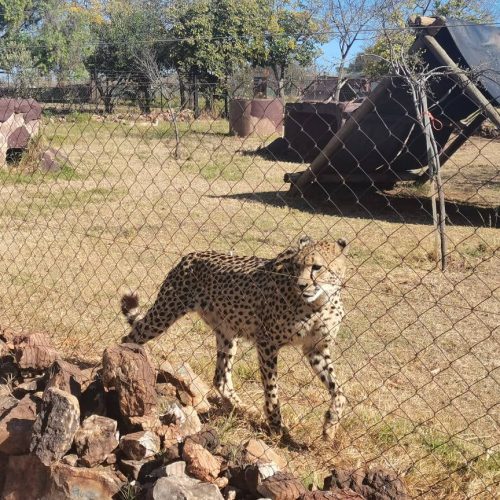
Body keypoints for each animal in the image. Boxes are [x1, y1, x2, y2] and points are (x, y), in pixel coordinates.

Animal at [120, 236, 348, 440]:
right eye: (297, 266)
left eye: (317, 267)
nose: (301, 285)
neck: (319, 303)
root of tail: (191, 255)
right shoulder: (267, 343)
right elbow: (272, 389)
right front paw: (276, 426)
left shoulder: (315, 348)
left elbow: (339, 392)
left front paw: (330, 425)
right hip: (165, 314)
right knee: (129, 337)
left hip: (227, 332)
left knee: (220, 377)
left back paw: (242, 407)